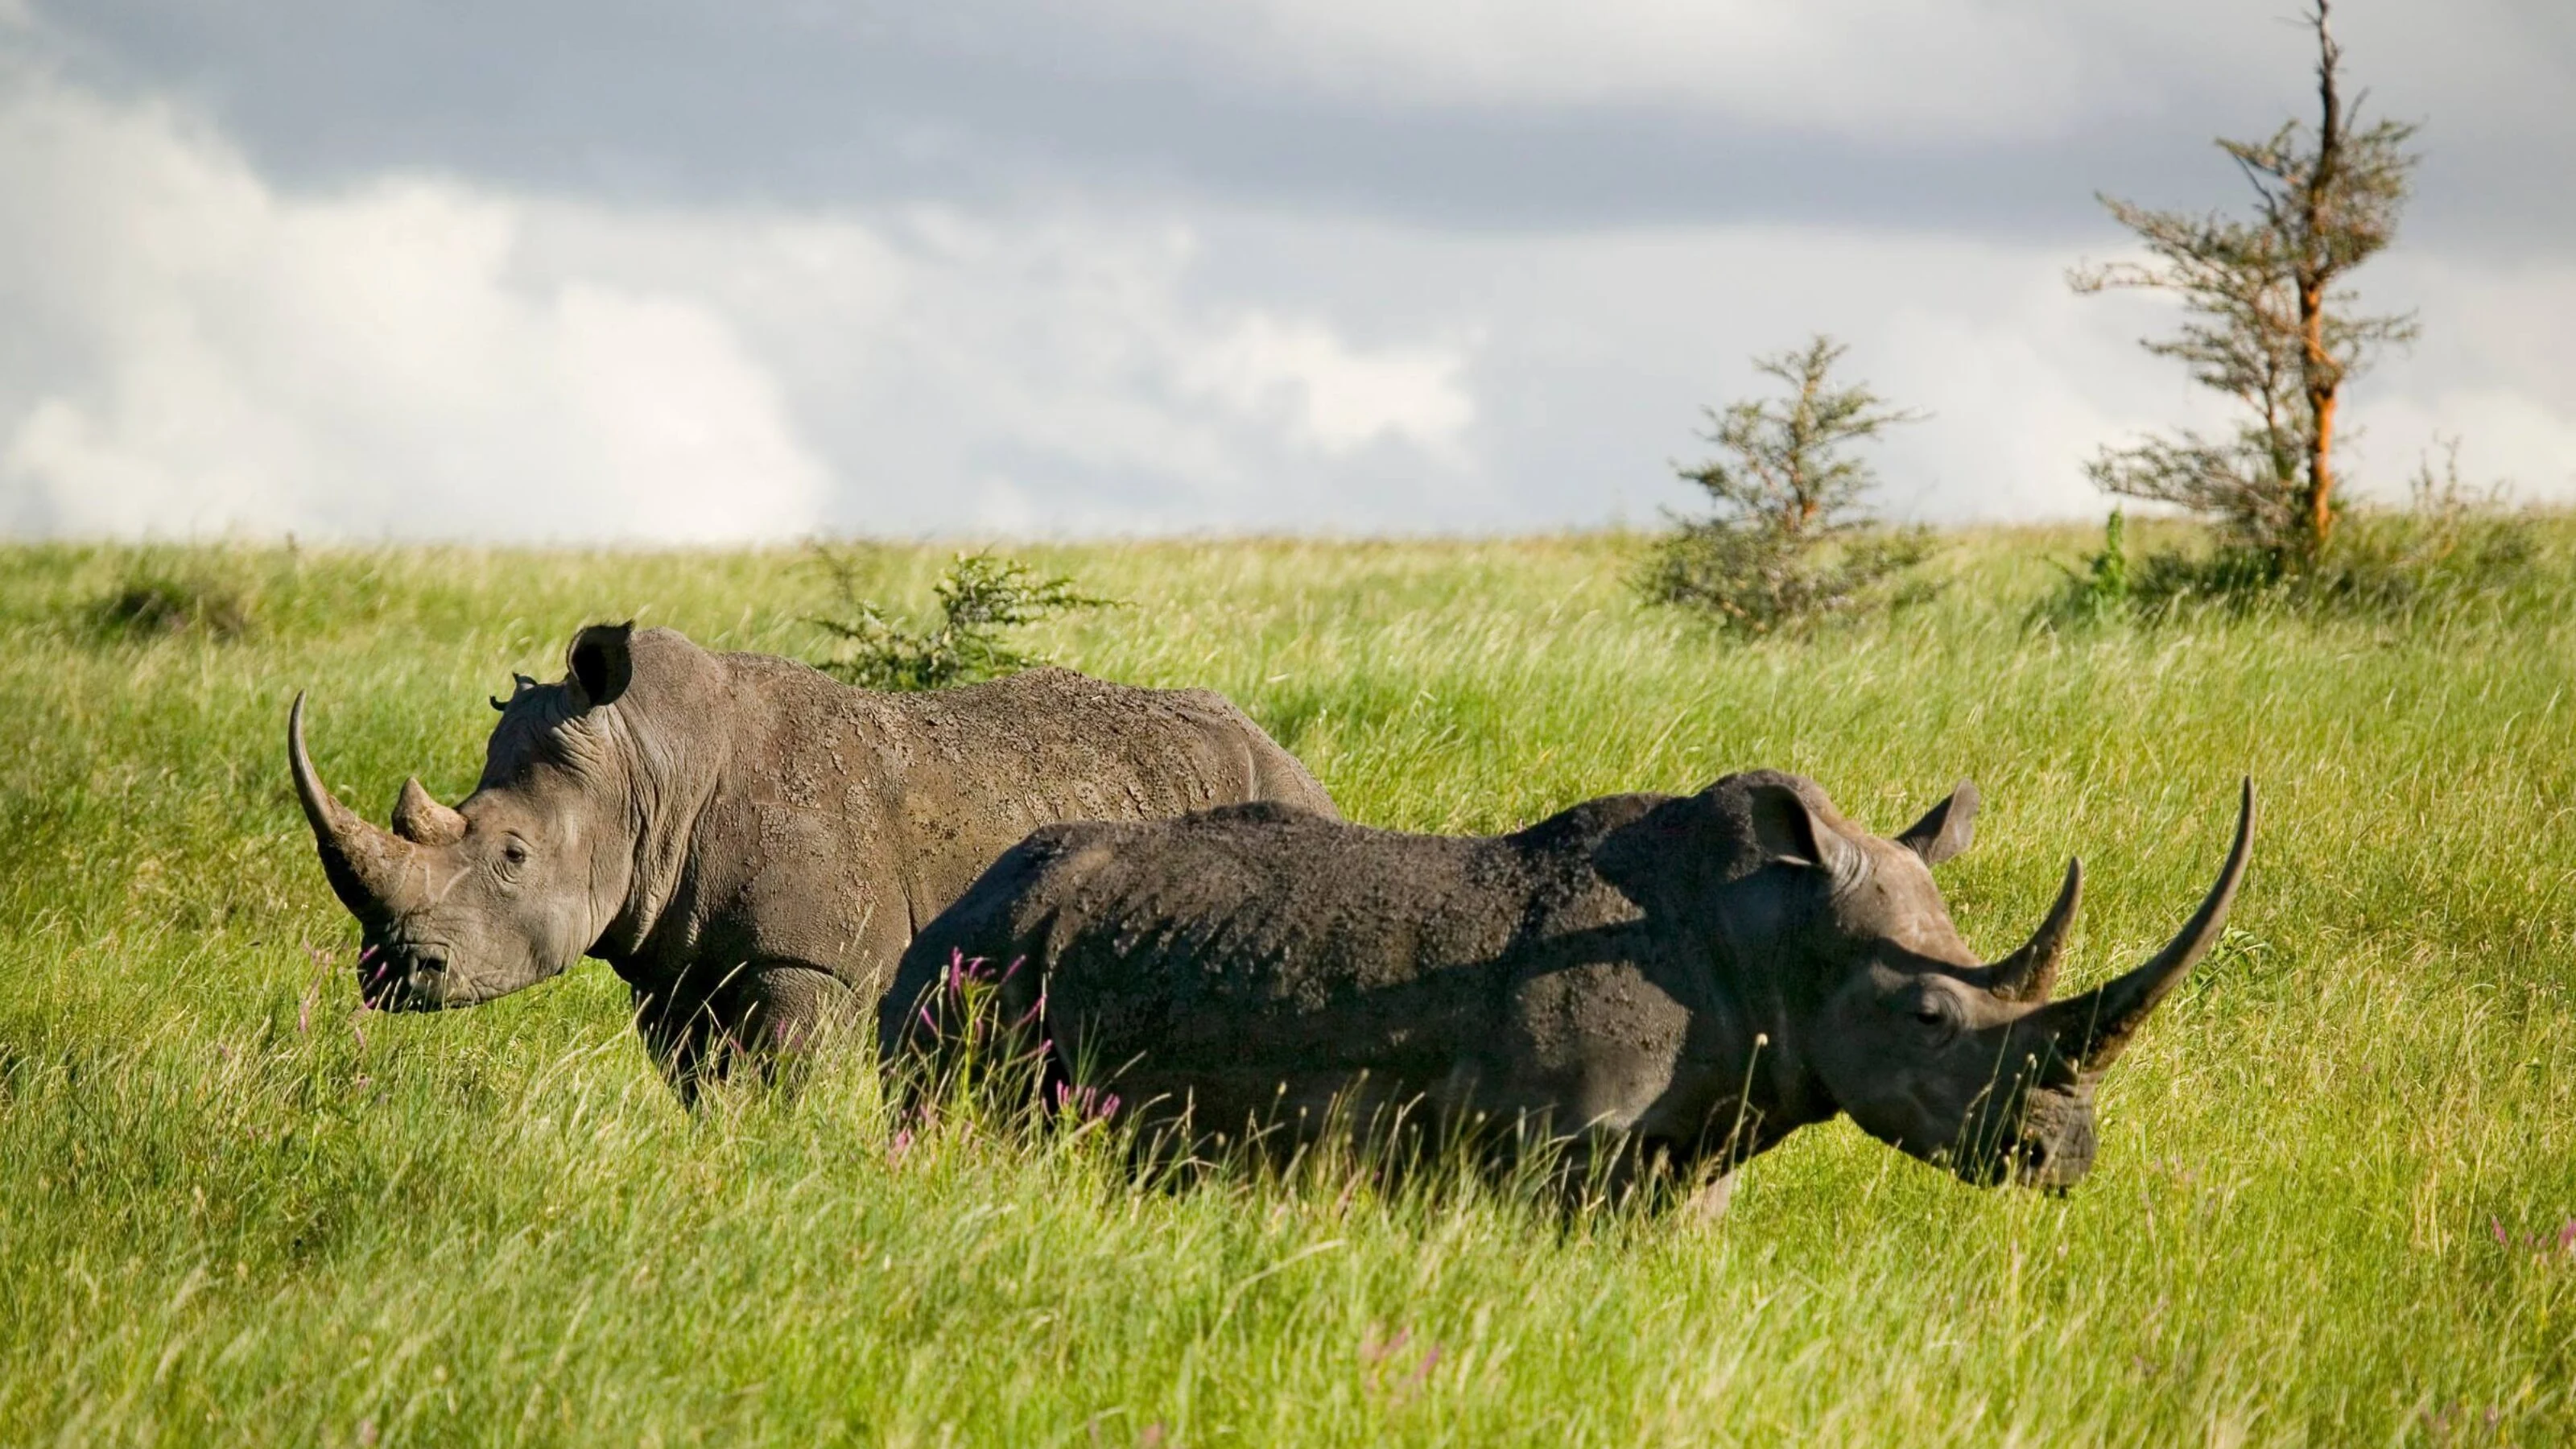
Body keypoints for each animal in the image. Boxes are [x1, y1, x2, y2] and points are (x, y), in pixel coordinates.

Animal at [289, 622, 1336, 1099]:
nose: (392, 972)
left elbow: (787, 1088)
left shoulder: (809, 963)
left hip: (1277, 800)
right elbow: (702, 1091)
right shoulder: (675, 967)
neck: (649, 766)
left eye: (511, 854)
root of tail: (1292, 759)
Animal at [880, 770, 2252, 1201]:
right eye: (1931, 1018)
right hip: (969, 966)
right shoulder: (1554, 1145)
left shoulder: (1695, 1145)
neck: (1768, 930)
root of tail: (955, 898)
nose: (2062, 1157)